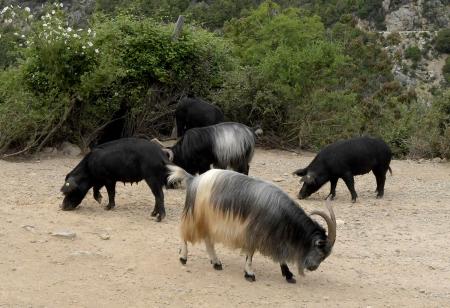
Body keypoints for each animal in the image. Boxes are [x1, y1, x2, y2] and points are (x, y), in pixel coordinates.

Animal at [167, 167, 336, 282]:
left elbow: (280, 255)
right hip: (196, 217)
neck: (280, 212)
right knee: (184, 233)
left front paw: (288, 274)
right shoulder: (254, 232)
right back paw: (183, 257)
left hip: (208, 221)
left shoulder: (274, 236)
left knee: (208, 241)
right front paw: (249, 273)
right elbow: (250, 253)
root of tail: (194, 180)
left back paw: (216, 263)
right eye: (321, 251)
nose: (313, 268)